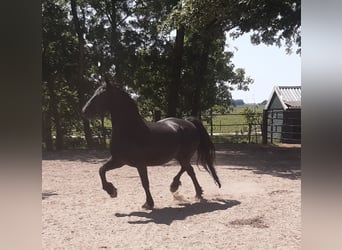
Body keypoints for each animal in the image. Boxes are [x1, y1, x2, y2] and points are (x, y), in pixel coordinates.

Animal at [83, 82, 222, 209]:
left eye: (101, 94)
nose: (84, 111)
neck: (130, 130)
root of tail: (189, 123)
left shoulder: (140, 164)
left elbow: (145, 183)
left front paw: (148, 203)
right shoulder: (118, 160)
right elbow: (101, 170)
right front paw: (111, 191)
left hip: (184, 156)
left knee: (188, 170)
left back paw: (183, 189)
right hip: (179, 156)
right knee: (188, 170)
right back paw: (188, 190)